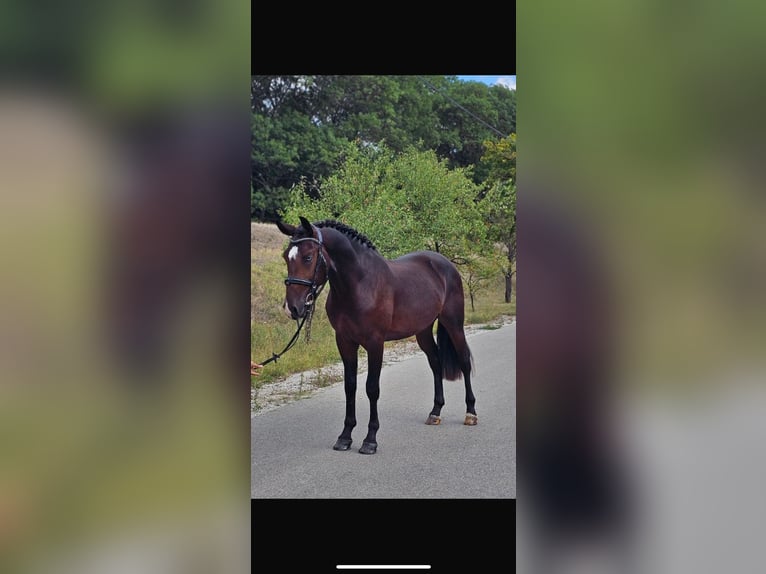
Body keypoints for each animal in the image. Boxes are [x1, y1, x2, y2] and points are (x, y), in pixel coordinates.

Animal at [276, 216, 477, 455]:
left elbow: (372, 388)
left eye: (307, 257)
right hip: (423, 331)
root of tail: (444, 263)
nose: (292, 308)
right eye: (286, 257)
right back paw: (435, 412)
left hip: (454, 323)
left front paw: (370, 440)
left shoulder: (375, 343)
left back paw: (471, 413)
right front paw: (345, 436)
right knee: (435, 363)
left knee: (464, 361)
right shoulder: (344, 341)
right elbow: (350, 386)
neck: (359, 285)